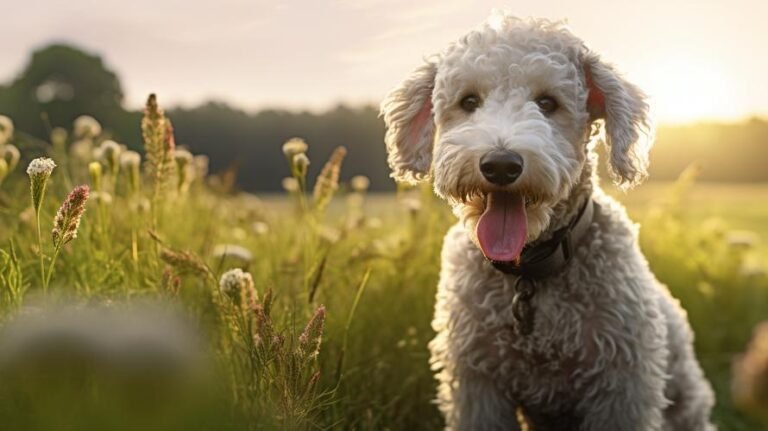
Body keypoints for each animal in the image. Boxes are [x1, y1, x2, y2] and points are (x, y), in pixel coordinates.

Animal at [380, 13, 716, 431]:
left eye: (547, 103)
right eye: (469, 101)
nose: (501, 165)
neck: (529, 273)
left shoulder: (622, 388)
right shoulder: (478, 383)